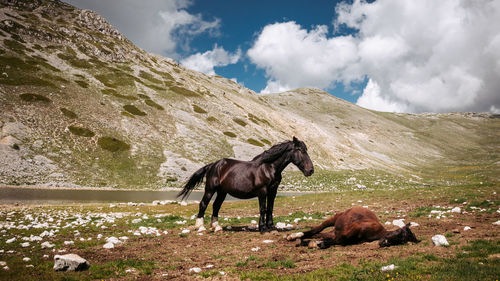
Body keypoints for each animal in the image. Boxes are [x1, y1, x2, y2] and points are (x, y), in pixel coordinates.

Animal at [178, 136, 314, 232]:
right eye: (300, 150)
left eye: (306, 150)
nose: (311, 170)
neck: (269, 167)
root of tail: (213, 165)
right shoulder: (262, 191)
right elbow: (263, 208)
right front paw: (263, 228)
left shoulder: (273, 191)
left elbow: (270, 208)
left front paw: (271, 227)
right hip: (210, 189)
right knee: (203, 204)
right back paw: (200, 227)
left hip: (222, 192)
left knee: (216, 206)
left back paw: (216, 227)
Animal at [288, 206, 420, 247]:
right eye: (400, 233)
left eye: (402, 241)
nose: (385, 243)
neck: (376, 233)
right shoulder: (355, 227)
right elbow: (339, 240)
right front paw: (314, 244)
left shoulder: (352, 238)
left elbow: (338, 241)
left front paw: (314, 243)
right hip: (333, 219)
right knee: (318, 229)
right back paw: (295, 235)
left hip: (334, 230)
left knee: (320, 233)